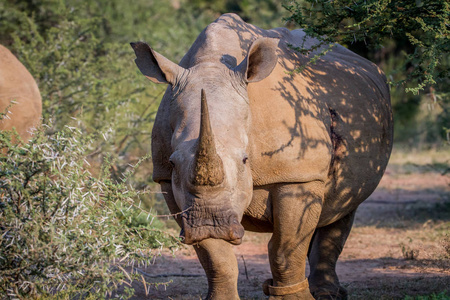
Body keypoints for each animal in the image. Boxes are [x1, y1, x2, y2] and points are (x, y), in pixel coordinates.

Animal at [132, 12, 392, 298]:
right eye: (173, 162)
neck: (211, 64)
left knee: (342, 206)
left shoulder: (297, 175)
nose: (209, 223)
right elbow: (215, 257)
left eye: (245, 160)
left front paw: (295, 297)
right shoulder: (168, 182)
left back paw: (327, 294)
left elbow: (285, 249)